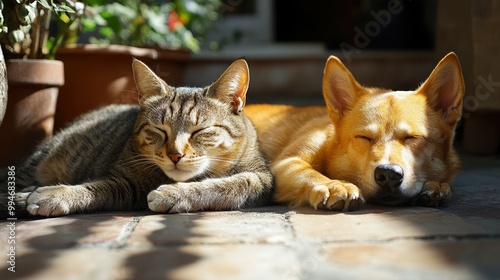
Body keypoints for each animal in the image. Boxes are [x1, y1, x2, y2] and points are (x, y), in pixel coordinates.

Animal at [0, 58, 274, 218]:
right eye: (160, 130)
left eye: (199, 131)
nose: (175, 155)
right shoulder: (126, 182)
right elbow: (93, 188)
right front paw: (55, 194)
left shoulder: (261, 179)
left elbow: (225, 185)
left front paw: (174, 194)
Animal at [246, 52, 464, 210]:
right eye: (364, 137)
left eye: (412, 137)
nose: (388, 175)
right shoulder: (284, 164)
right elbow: (309, 173)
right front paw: (335, 185)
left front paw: (436, 186)